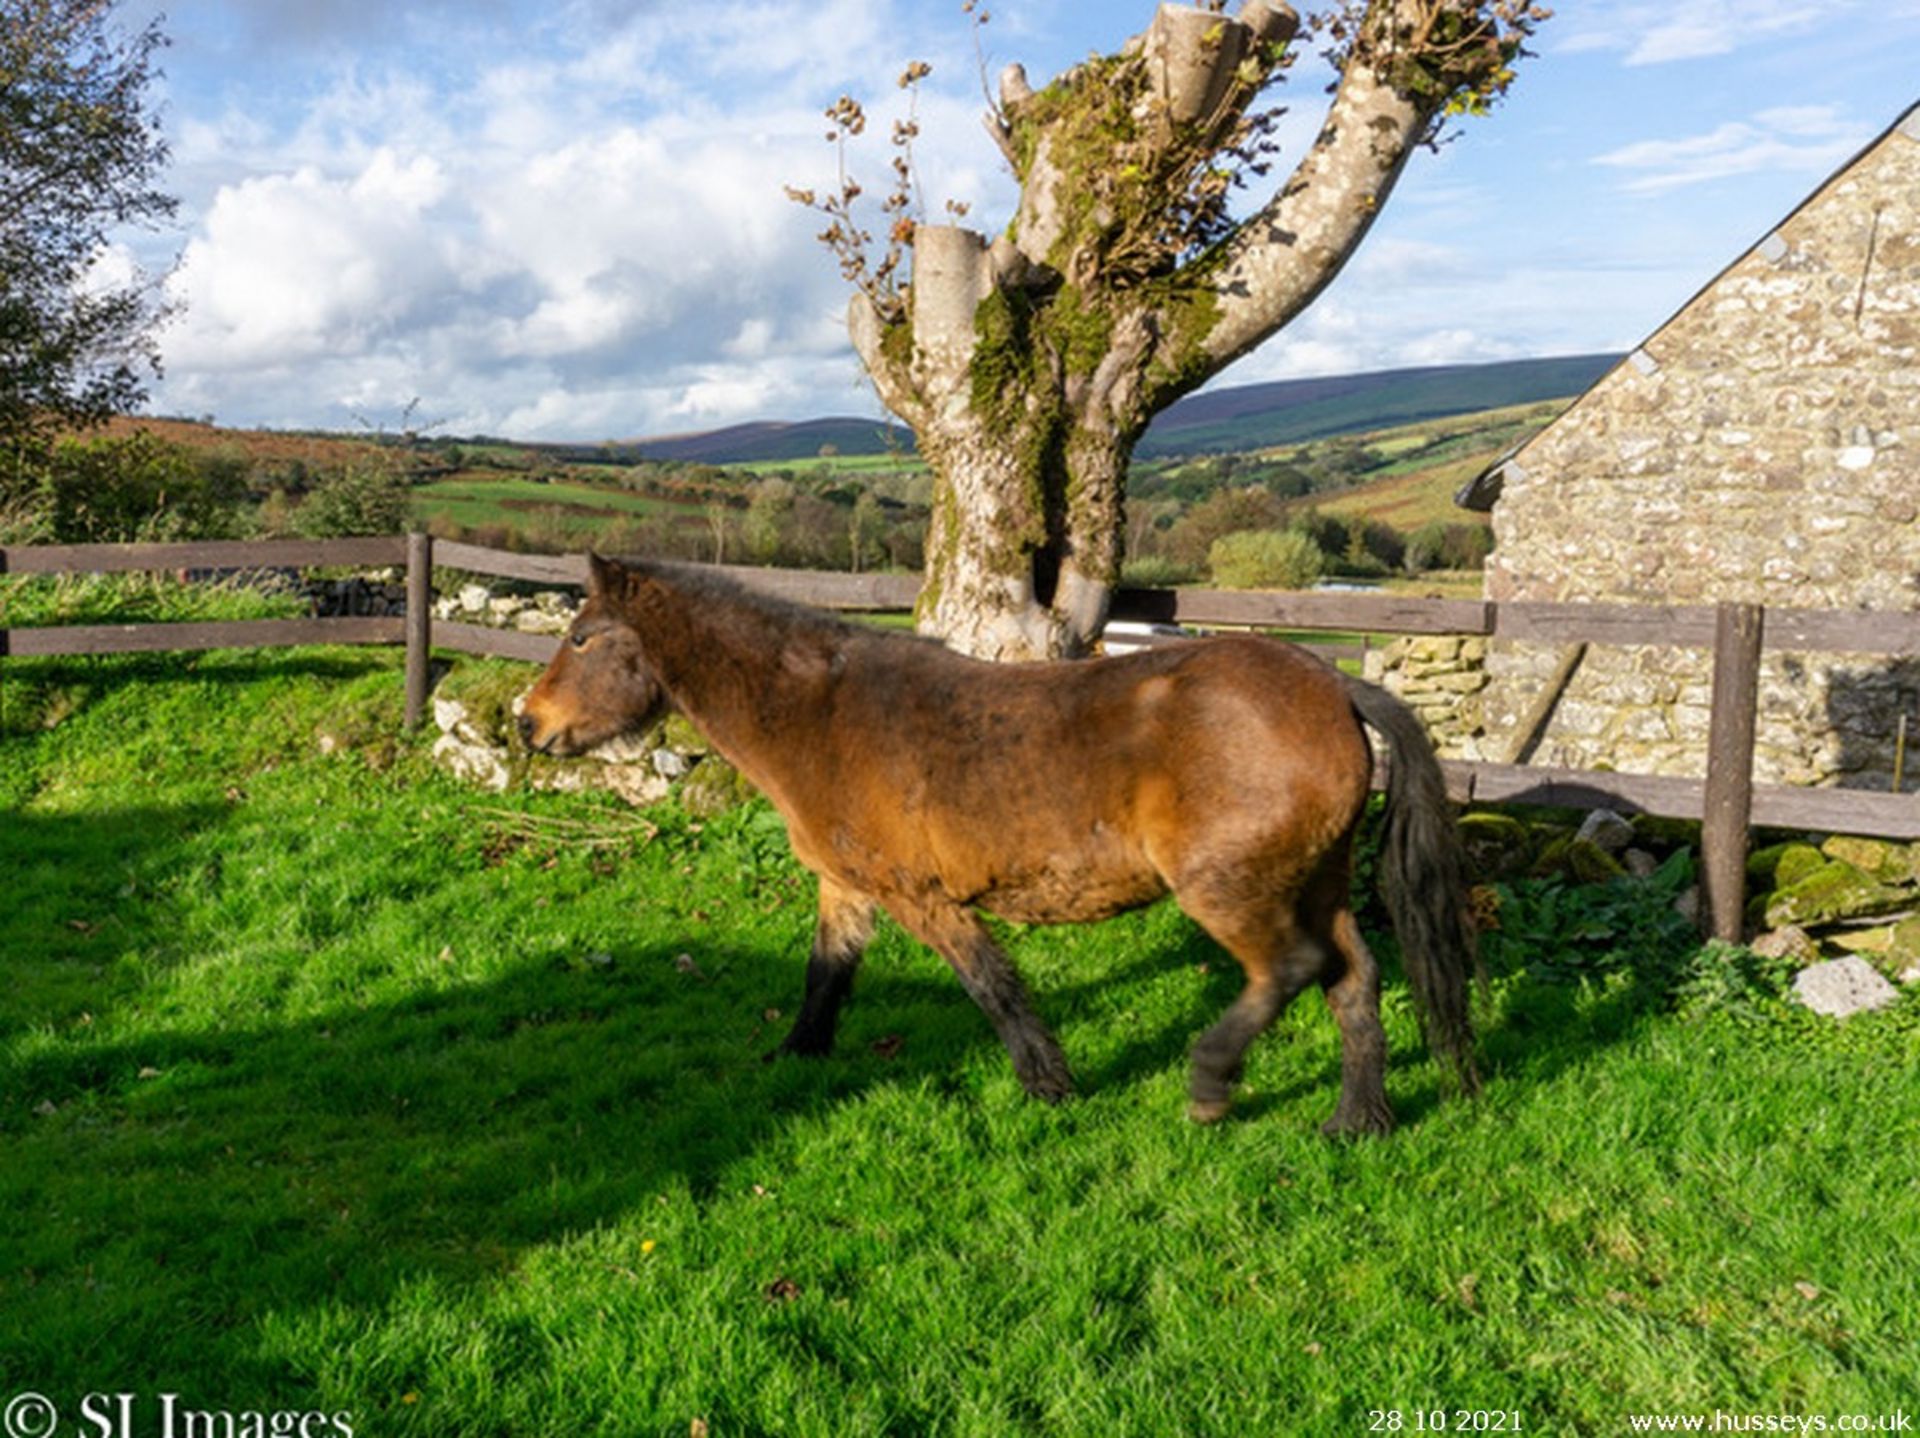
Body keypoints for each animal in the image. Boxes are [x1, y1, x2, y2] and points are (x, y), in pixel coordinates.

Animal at [518, 556, 1474, 1128]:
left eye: (581, 638)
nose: (529, 726)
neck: (817, 715)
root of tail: (1331, 685)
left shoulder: (922, 897)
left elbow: (992, 987)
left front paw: (1050, 1085)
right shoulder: (846, 888)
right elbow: (826, 975)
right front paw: (795, 1057)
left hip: (1232, 888)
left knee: (1292, 969)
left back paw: (1210, 1083)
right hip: (1315, 880)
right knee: (1354, 979)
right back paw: (1357, 1123)